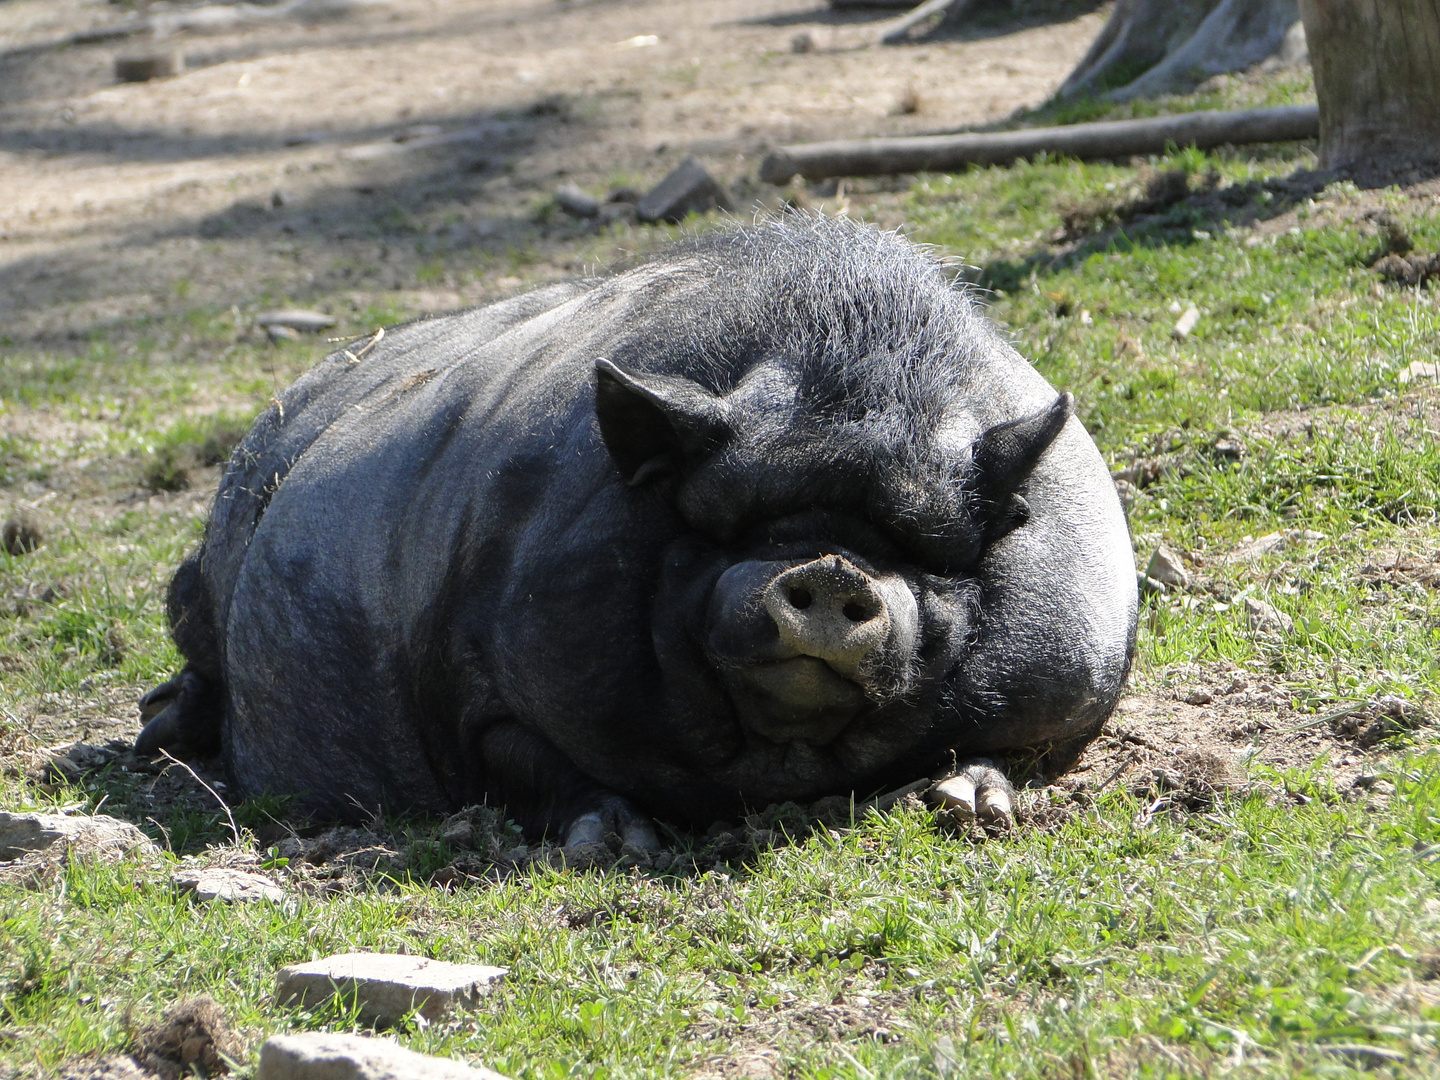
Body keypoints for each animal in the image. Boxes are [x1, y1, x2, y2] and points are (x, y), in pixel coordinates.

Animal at [140, 216, 1140, 852]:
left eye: (923, 548)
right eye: (718, 526)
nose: (830, 568)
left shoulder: (1074, 674)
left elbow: (1022, 744)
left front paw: (967, 808)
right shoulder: (476, 687)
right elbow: (528, 761)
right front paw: (618, 846)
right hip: (198, 584)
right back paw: (156, 732)